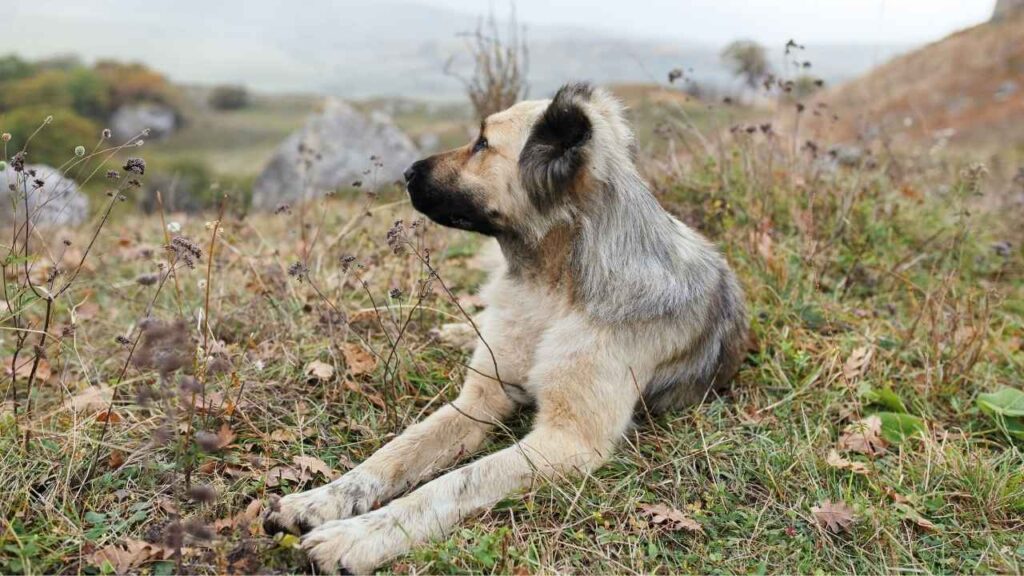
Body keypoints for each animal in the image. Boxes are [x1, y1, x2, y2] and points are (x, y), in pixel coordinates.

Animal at [262, 80, 745, 569]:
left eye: (482, 144)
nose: (407, 171)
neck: (552, 288)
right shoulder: (478, 399)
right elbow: (393, 454)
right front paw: (320, 500)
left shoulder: (567, 439)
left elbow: (452, 483)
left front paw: (358, 536)